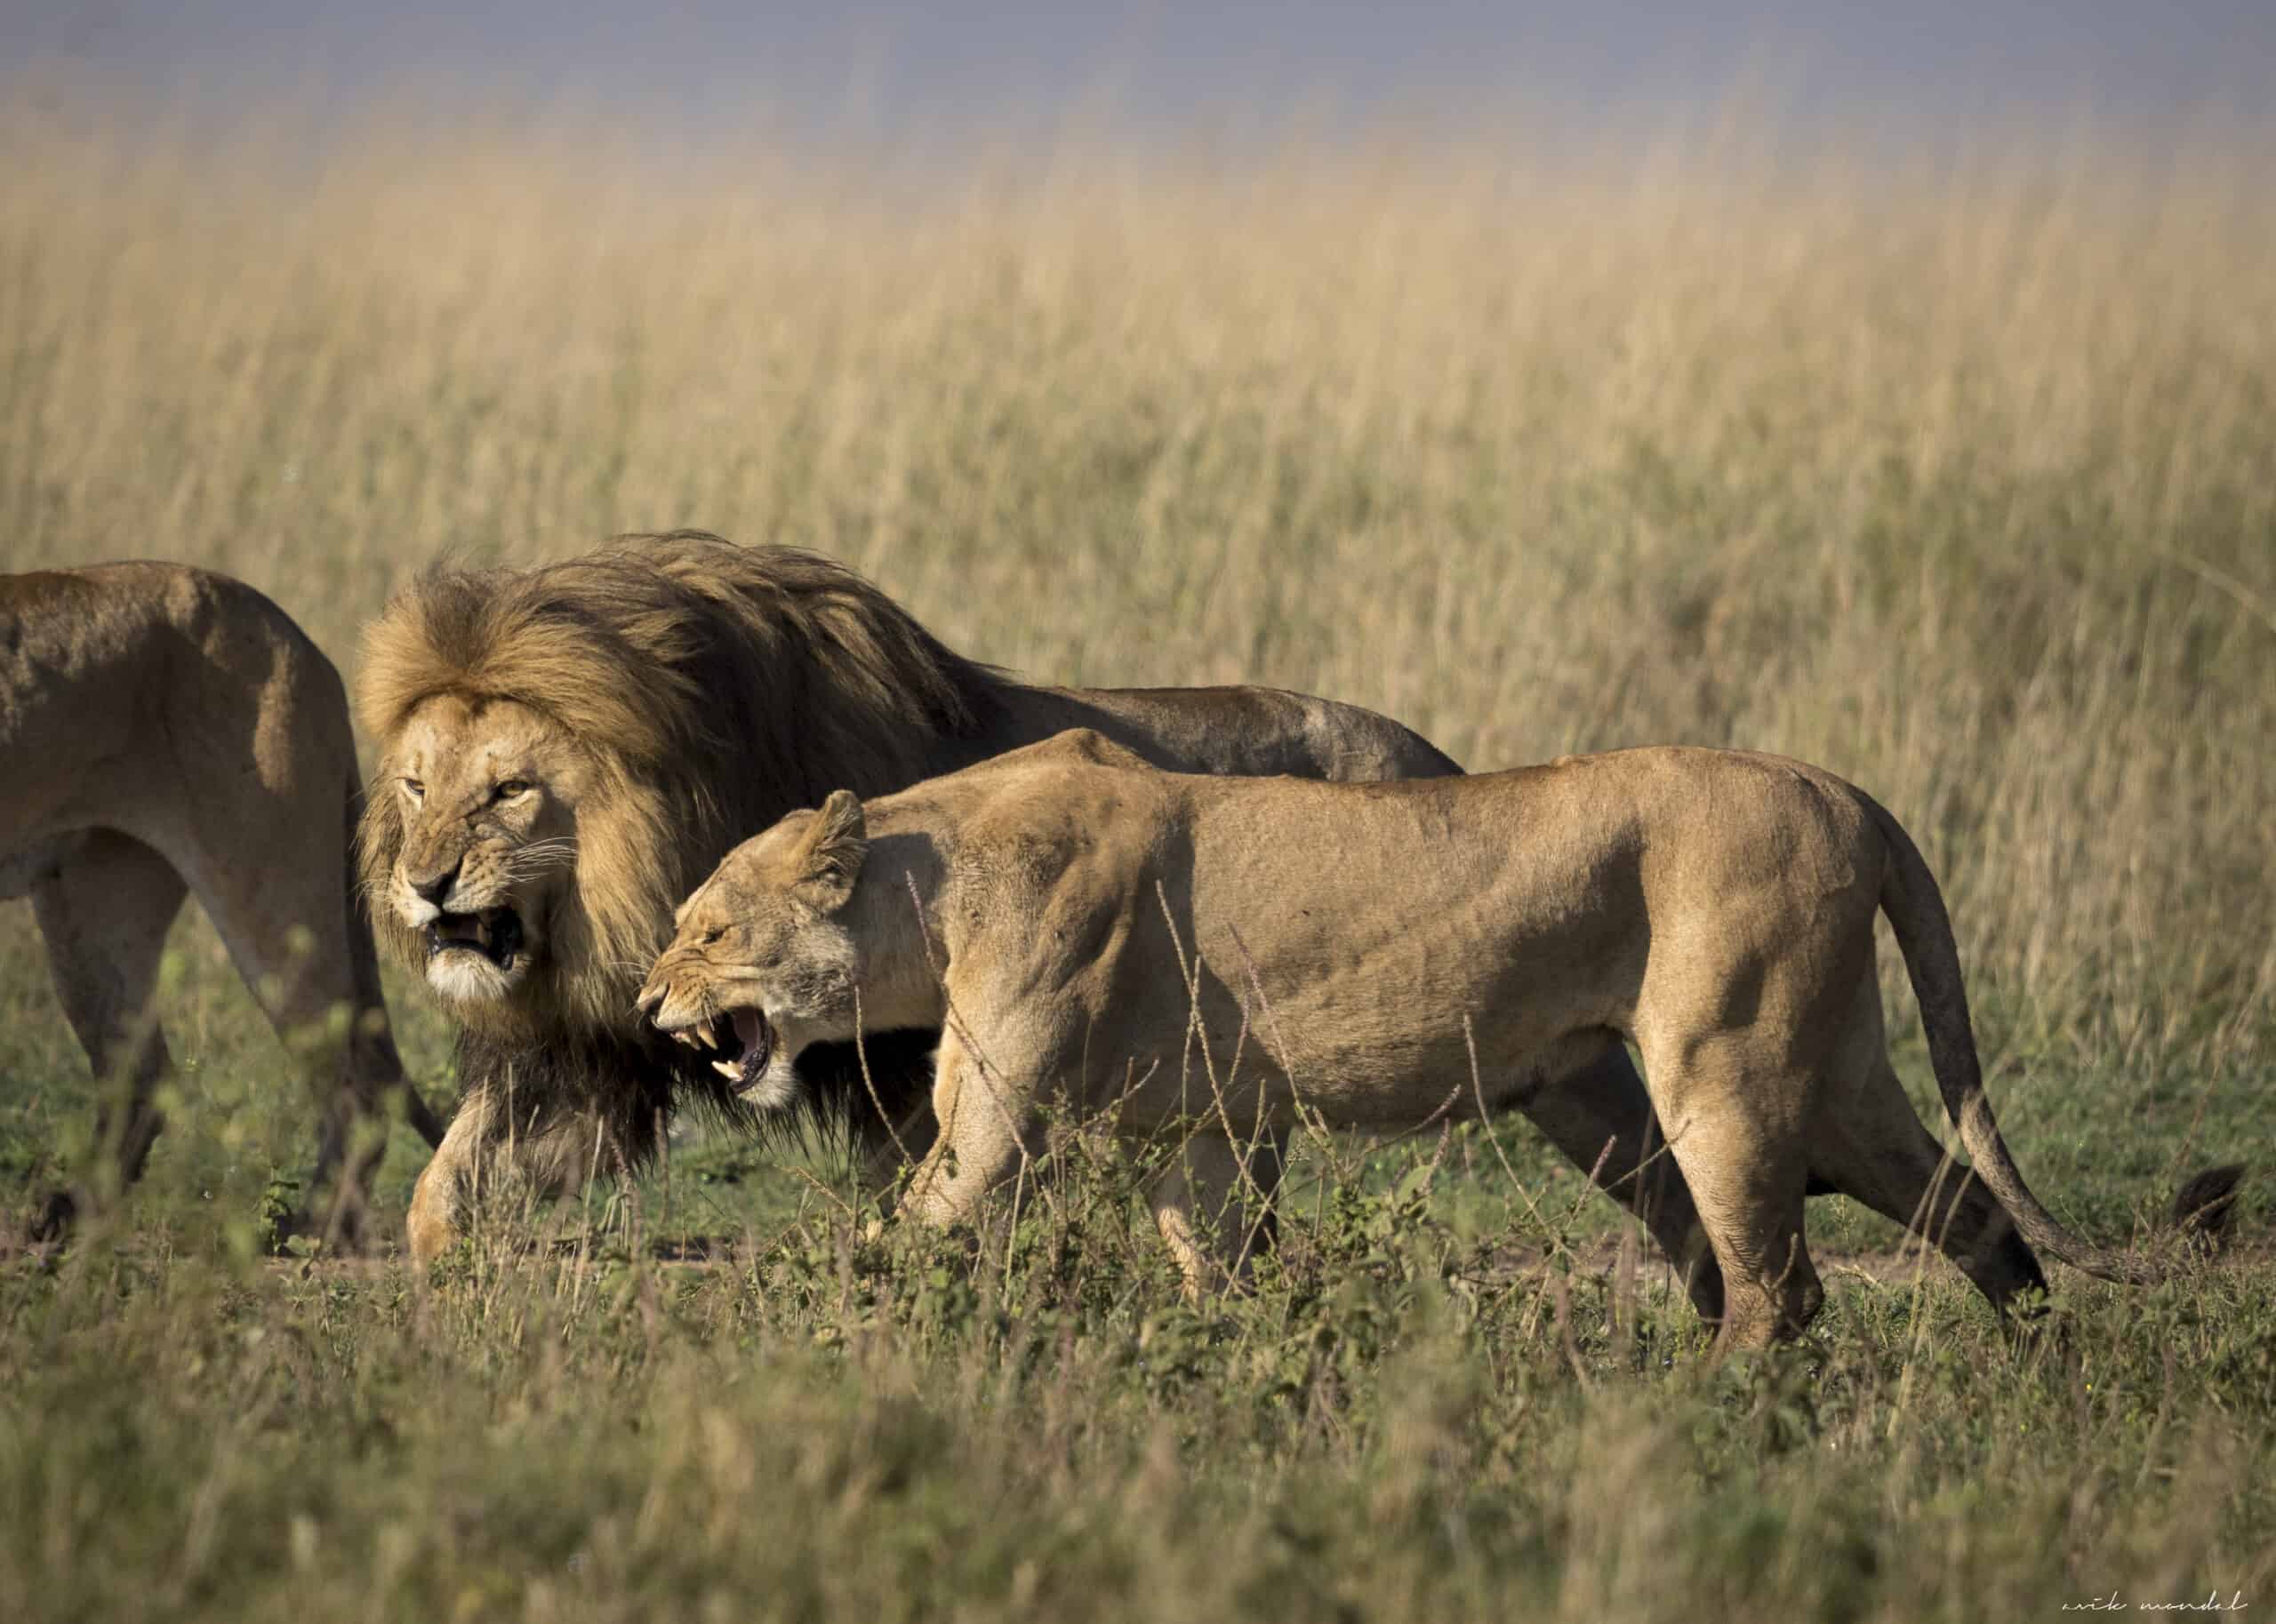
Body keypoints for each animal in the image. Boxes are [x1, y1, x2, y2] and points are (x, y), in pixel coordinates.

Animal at [1, 563, 445, 1243]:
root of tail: (302, 643)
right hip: (95, 895)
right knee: (141, 1075)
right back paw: (63, 1214)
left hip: (266, 885)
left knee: (354, 1078)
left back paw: (312, 1228)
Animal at [362, 530, 1709, 1290]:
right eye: (417, 785)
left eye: (508, 790)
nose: (425, 883)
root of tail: (1434, 755)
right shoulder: (590, 1061)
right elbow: (448, 1185)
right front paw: (444, 1295)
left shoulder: (922, 1066)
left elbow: (941, 1197)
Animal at [636, 730, 2240, 1354]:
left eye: (706, 927)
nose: (650, 1007)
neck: (931, 874)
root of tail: (1837, 786)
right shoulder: (1209, 1125)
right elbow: (1214, 1258)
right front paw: (1241, 1362)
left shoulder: (1000, 1112)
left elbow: (914, 1223)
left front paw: (800, 1338)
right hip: (1836, 1071)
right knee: (1963, 1204)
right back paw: (2037, 1365)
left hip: (1723, 1062)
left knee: (1783, 1287)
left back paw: (1706, 1402)